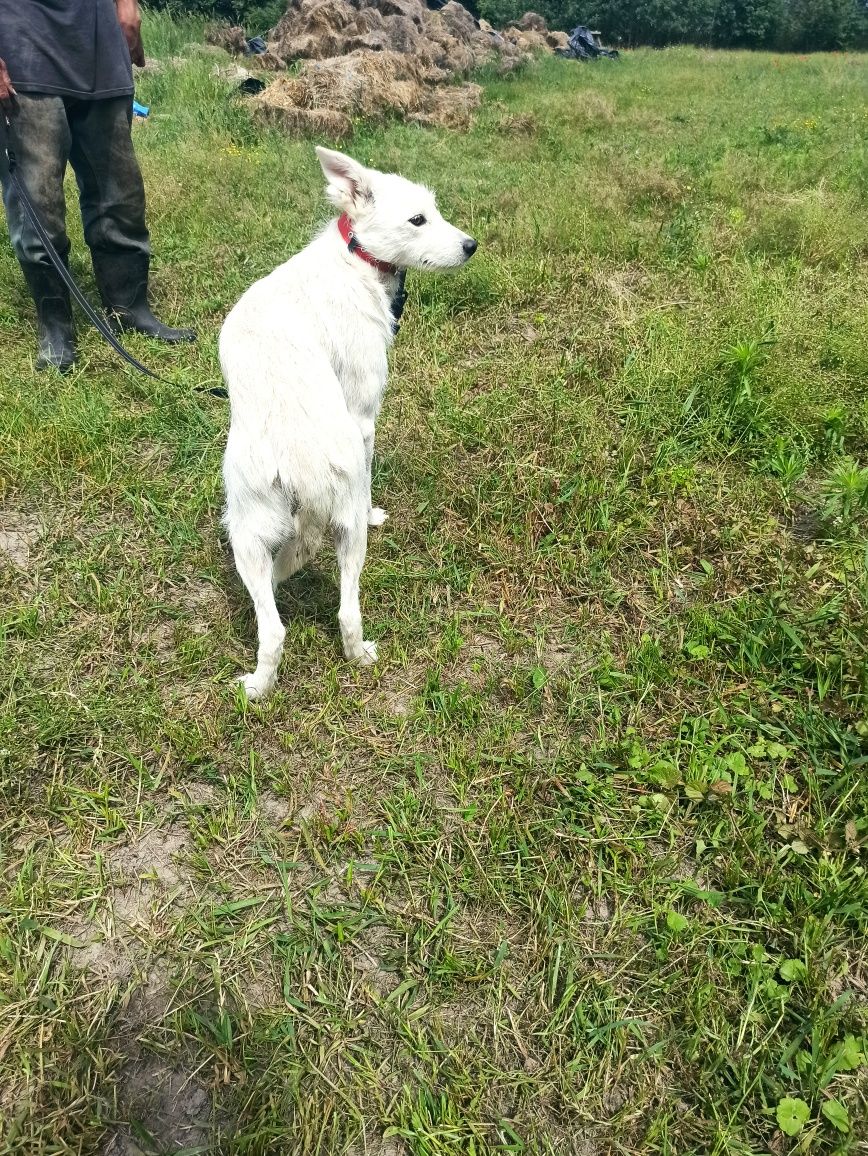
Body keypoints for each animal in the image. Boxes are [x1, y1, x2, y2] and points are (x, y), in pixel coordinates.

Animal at [217, 149, 476, 698]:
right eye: (417, 220)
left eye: (435, 210)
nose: (471, 245)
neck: (354, 257)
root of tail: (301, 465)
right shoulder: (363, 410)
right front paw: (379, 508)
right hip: (327, 530)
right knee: (332, 617)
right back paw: (345, 662)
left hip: (259, 535)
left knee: (288, 625)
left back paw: (269, 684)